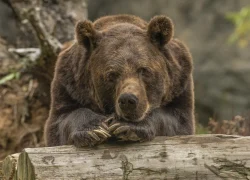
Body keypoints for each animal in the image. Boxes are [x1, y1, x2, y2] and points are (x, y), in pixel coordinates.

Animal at [44, 13, 195, 146]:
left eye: (144, 70)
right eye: (112, 74)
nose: (128, 100)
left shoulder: (180, 83)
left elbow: (177, 121)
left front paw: (127, 126)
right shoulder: (69, 84)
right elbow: (61, 120)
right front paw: (95, 129)